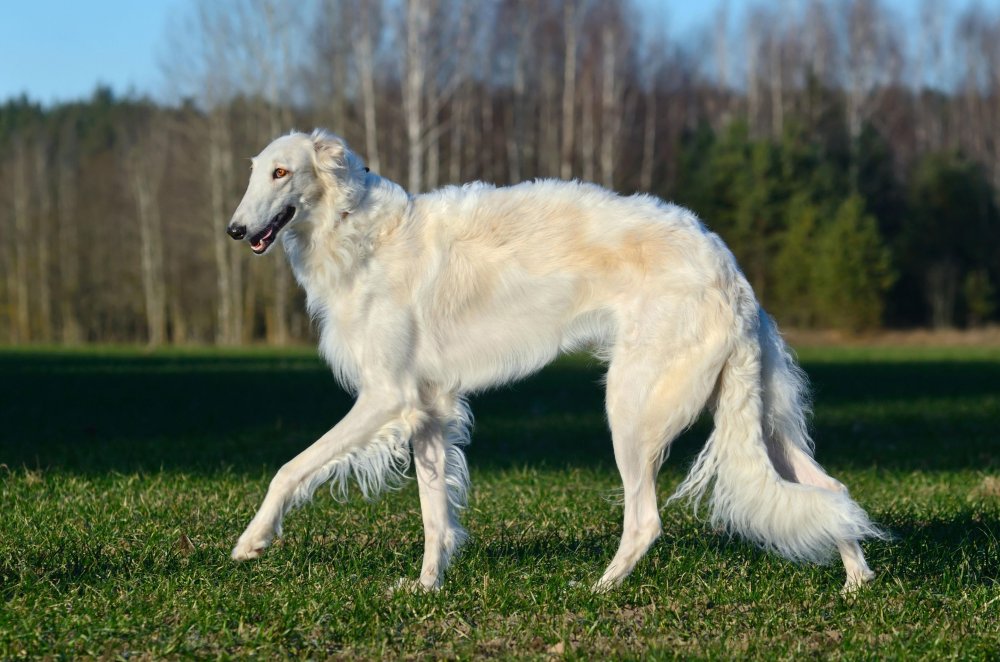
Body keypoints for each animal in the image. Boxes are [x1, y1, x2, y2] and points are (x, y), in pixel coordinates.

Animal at [229, 128, 884, 592]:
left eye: (282, 172)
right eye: (255, 171)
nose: (235, 229)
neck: (360, 234)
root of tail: (731, 275)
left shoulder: (387, 396)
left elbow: (288, 468)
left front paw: (252, 541)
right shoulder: (428, 407)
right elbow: (434, 516)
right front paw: (425, 587)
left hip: (631, 407)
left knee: (646, 519)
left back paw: (598, 589)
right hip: (764, 418)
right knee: (832, 492)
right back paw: (856, 580)